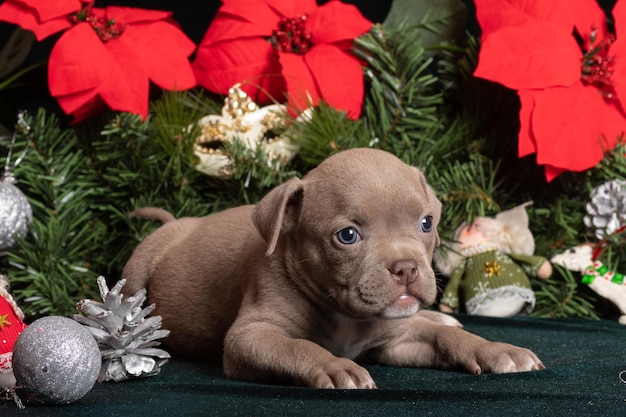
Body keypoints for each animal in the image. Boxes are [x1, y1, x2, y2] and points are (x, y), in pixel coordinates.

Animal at [120, 148, 540, 388]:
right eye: (348, 235)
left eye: (426, 223)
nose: (406, 268)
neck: (347, 318)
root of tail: (179, 222)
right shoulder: (251, 336)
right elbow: (297, 347)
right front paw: (336, 366)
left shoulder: (398, 340)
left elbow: (445, 339)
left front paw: (495, 349)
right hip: (137, 269)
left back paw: (443, 317)